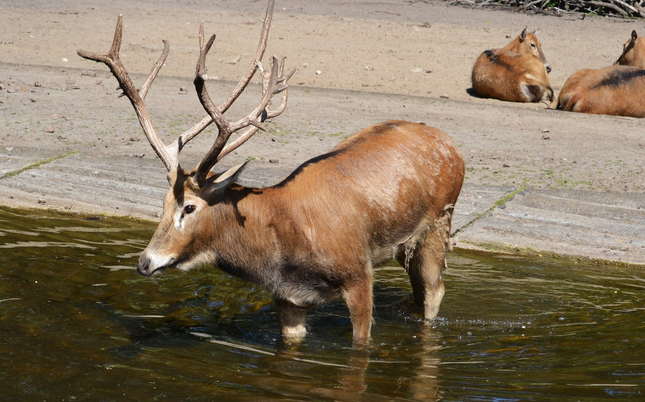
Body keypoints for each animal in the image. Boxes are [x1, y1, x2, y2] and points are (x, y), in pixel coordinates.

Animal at [78, 0, 466, 346]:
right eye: (160, 203)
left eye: (189, 207)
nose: (145, 262)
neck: (279, 239)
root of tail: (451, 144)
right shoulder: (287, 296)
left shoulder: (357, 273)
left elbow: (361, 344)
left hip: (439, 223)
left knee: (435, 292)